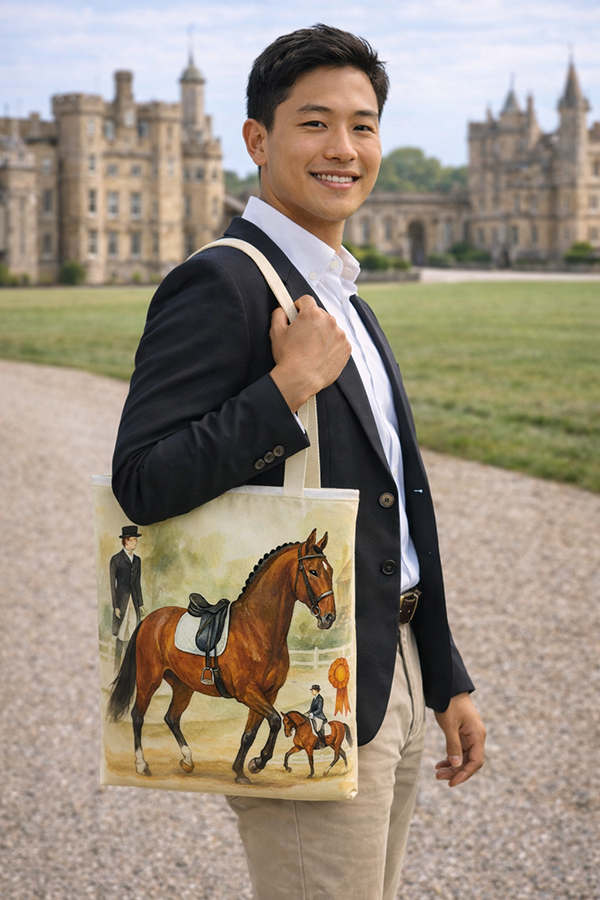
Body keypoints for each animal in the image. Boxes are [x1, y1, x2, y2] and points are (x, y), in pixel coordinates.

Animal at [107, 529, 335, 785]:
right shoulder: (247, 692)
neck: (256, 628)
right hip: (149, 679)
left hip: (183, 685)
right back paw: (142, 765)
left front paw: (242, 771)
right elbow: (275, 721)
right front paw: (257, 763)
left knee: (172, 718)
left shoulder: (268, 693)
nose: (329, 617)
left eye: (330, 570)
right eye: (313, 571)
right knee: (138, 716)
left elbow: (250, 733)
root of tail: (149, 619)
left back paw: (187, 760)